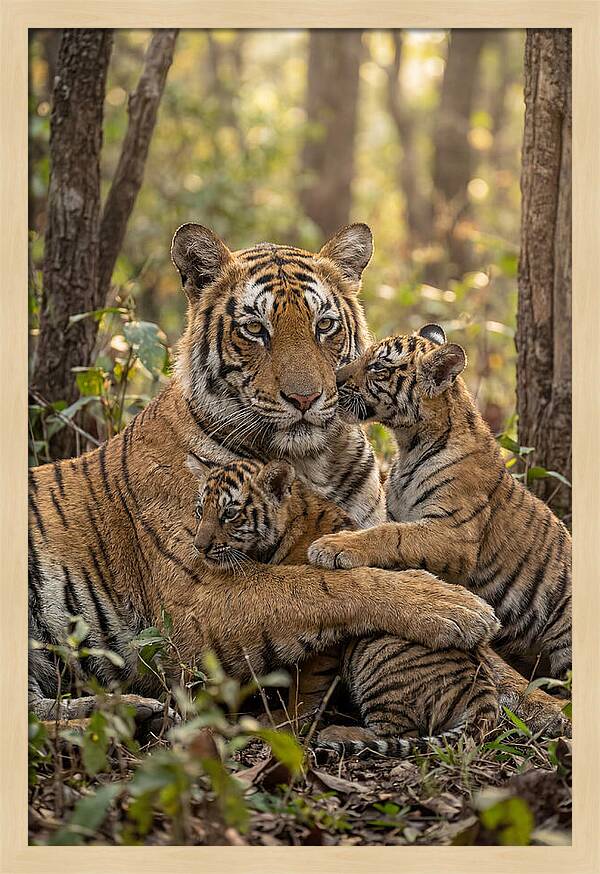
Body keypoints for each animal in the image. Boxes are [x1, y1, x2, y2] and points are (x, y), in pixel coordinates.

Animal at [28, 224, 500, 724]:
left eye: (324, 326)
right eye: (255, 329)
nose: (306, 398)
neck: (312, 461)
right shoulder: (198, 595)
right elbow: (321, 584)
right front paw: (454, 606)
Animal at [186, 453, 500, 756]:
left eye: (230, 513)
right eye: (200, 510)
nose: (199, 547)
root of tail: (484, 690)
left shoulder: (324, 634)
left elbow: (307, 687)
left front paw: (287, 721)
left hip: (376, 654)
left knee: (400, 732)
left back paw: (337, 733)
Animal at [308, 324, 572, 726]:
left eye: (378, 367)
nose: (334, 380)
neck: (409, 443)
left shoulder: (453, 533)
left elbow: (391, 536)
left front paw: (332, 547)